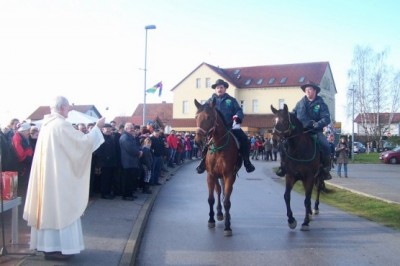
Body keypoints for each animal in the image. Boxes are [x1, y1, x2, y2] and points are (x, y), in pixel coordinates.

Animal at [194, 98, 241, 236]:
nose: (198, 141)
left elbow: (227, 201)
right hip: (216, 177)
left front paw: (227, 226)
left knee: (225, 193)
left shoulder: (229, 175)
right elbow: (211, 199)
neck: (219, 146)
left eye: (209, 117)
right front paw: (211, 220)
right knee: (219, 190)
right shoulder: (211, 175)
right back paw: (219, 213)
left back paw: (225, 215)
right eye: (196, 117)